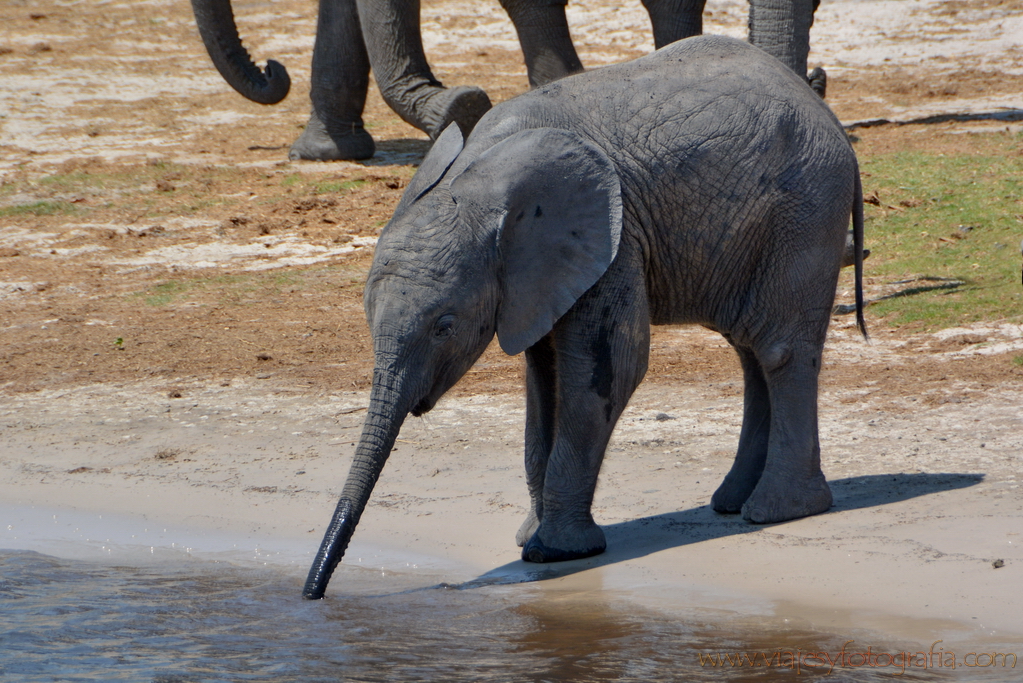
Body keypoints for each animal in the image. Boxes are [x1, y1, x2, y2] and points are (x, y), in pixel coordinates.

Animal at [302, 34, 863, 597]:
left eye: (445, 327)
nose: (314, 592)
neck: (478, 177)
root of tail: (826, 113)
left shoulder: (614, 239)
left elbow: (610, 367)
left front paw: (552, 551)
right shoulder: (541, 272)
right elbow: (544, 377)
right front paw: (529, 536)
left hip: (806, 206)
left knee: (777, 349)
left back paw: (778, 511)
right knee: (748, 347)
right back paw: (731, 503)